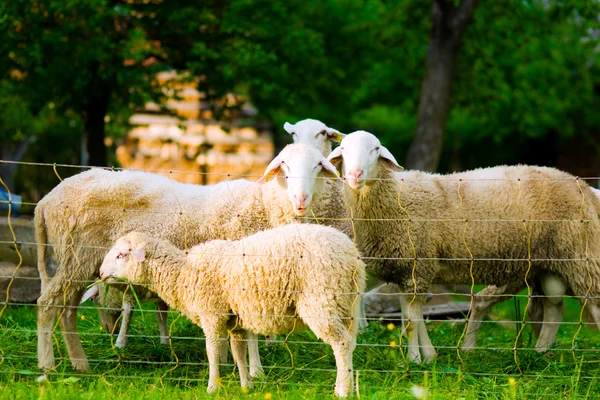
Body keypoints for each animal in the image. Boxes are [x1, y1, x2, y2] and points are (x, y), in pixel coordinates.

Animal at [36, 141, 342, 372]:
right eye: (285, 166)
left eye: (318, 166)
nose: (300, 200)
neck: (263, 205)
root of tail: (47, 200)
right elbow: (250, 331)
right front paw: (254, 370)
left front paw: (230, 362)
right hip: (78, 254)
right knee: (48, 304)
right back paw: (47, 365)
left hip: (80, 260)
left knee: (68, 310)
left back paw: (80, 364)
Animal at [98, 225, 366, 396]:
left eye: (120, 255)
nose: (100, 273)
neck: (183, 273)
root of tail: (350, 254)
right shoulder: (235, 320)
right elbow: (238, 353)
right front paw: (246, 386)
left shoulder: (212, 314)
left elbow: (213, 351)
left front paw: (212, 387)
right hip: (346, 304)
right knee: (350, 342)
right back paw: (347, 385)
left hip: (322, 299)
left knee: (341, 344)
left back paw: (342, 391)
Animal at [326, 130, 600, 362]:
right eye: (343, 148)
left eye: (375, 149)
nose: (355, 175)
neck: (397, 199)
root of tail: (584, 186)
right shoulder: (407, 271)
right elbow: (412, 317)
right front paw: (429, 356)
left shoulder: (418, 266)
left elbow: (412, 322)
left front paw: (415, 361)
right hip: (547, 266)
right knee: (554, 309)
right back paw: (539, 354)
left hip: (584, 259)